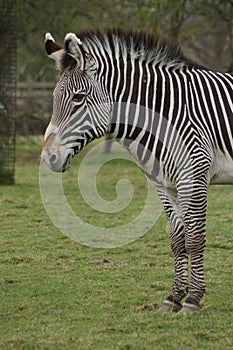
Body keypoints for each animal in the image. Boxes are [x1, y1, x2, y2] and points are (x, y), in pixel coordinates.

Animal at [41, 29, 233, 314]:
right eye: (54, 98)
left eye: (78, 98)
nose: (48, 157)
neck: (165, 112)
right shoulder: (164, 183)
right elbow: (178, 239)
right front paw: (174, 298)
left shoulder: (194, 176)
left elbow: (195, 237)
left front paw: (193, 299)